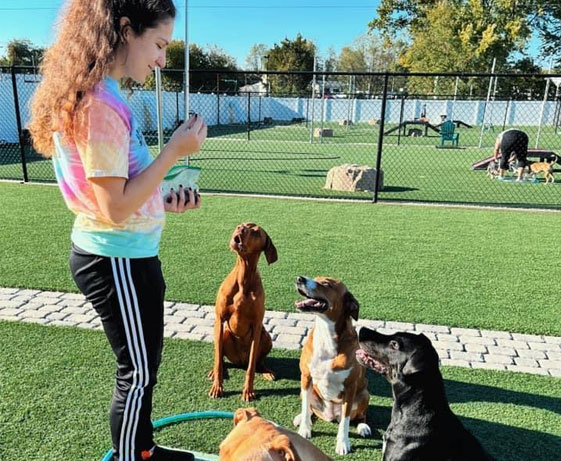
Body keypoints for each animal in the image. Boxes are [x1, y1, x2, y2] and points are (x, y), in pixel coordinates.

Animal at [208, 222, 278, 398]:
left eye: (256, 232)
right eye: (241, 225)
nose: (241, 229)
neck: (243, 276)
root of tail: (240, 361)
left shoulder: (257, 325)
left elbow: (251, 368)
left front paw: (248, 391)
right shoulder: (220, 320)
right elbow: (218, 361)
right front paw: (217, 387)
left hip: (266, 337)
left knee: (257, 361)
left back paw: (266, 371)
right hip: (223, 333)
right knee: (220, 358)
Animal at [290, 274, 370, 454]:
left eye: (326, 284)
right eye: (315, 277)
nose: (299, 278)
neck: (326, 332)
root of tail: (330, 416)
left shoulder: (350, 387)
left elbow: (345, 421)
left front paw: (343, 443)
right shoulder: (306, 377)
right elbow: (305, 407)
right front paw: (305, 429)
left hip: (364, 394)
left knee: (359, 415)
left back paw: (363, 426)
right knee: (309, 408)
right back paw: (301, 418)